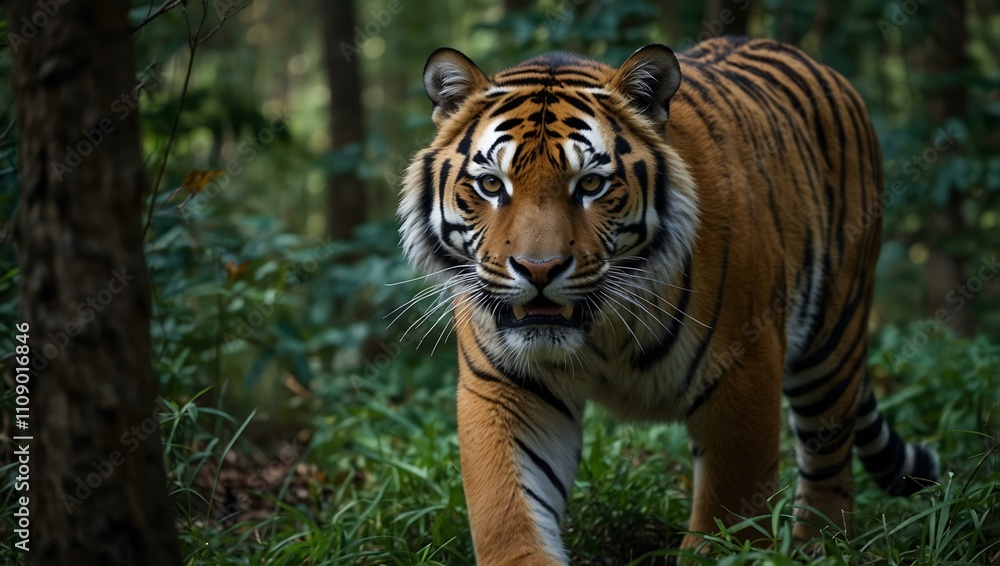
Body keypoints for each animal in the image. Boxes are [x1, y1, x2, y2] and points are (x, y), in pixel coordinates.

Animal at [398, 36, 939, 564]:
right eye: (492, 184)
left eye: (590, 184)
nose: (539, 269)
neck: (599, 331)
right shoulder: (507, 387)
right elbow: (509, 516)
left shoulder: (744, 369)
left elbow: (729, 516)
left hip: (831, 342)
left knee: (830, 465)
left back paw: (818, 546)